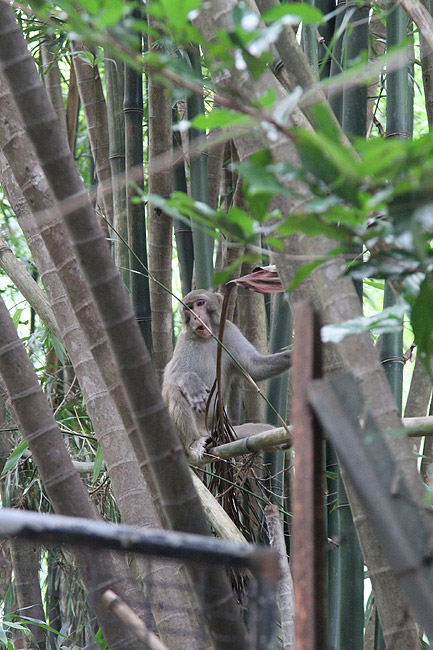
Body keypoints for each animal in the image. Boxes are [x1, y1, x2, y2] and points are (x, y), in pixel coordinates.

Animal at [162, 289, 292, 459]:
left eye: (200, 303)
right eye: (189, 308)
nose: (195, 316)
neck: (208, 337)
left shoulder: (229, 329)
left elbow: (253, 366)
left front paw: (292, 355)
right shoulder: (184, 339)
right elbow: (169, 378)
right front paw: (191, 382)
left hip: (224, 434)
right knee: (173, 390)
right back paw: (193, 443)